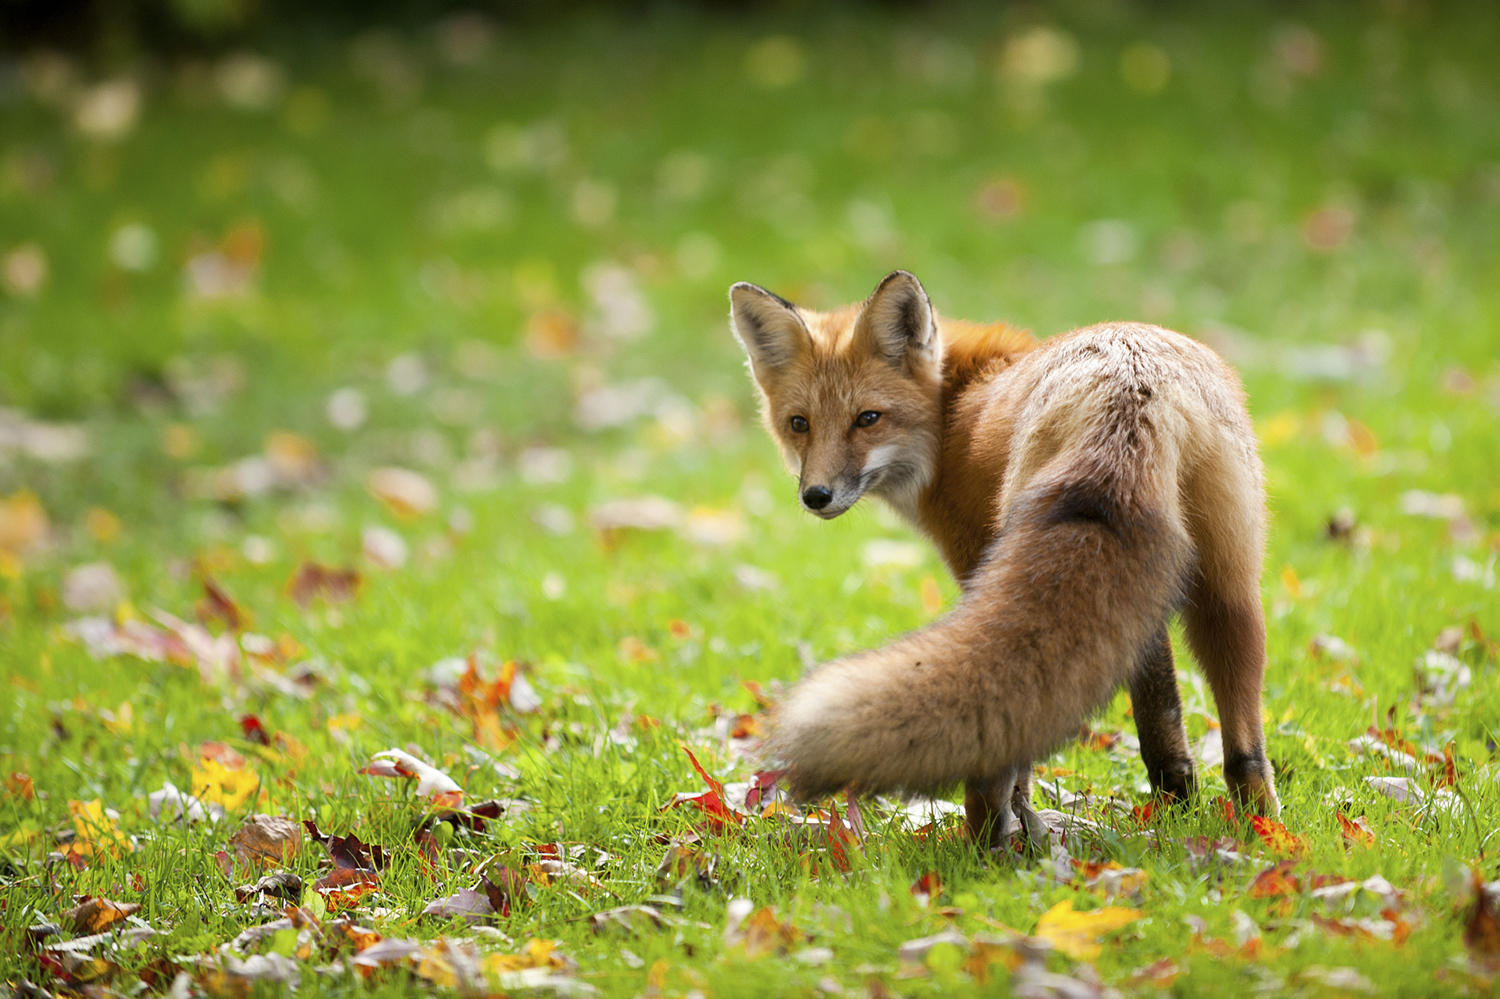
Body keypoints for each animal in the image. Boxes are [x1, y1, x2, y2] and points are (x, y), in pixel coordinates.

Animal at [726, 267, 1278, 840]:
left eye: (868, 418)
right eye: (799, 424)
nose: (816, 496)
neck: (951, 415)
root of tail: (1131, 380)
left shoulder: (975, 560)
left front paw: (1021, 818)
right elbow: (1162, 711)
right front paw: (1176, 804)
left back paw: (984, 837)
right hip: (1230, 587)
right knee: (1244, 750)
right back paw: (1258, 832)